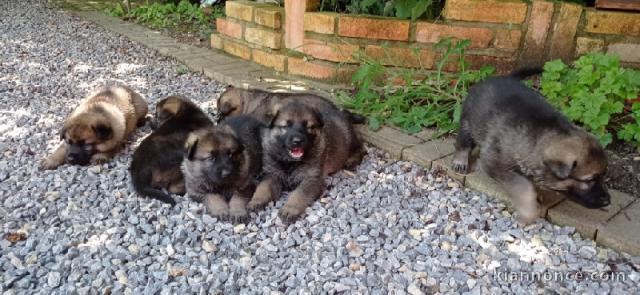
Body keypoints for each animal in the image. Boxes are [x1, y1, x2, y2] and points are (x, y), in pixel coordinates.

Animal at [452, 68, 612, 223]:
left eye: (604, 175)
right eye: (589, 180)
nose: (608, 202)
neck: (539, 141)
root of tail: (498, 77)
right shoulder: (495, 163)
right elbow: (523, 187)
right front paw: (529, 211)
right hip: (468, 121)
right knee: (463, 142)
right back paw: (460, 161)